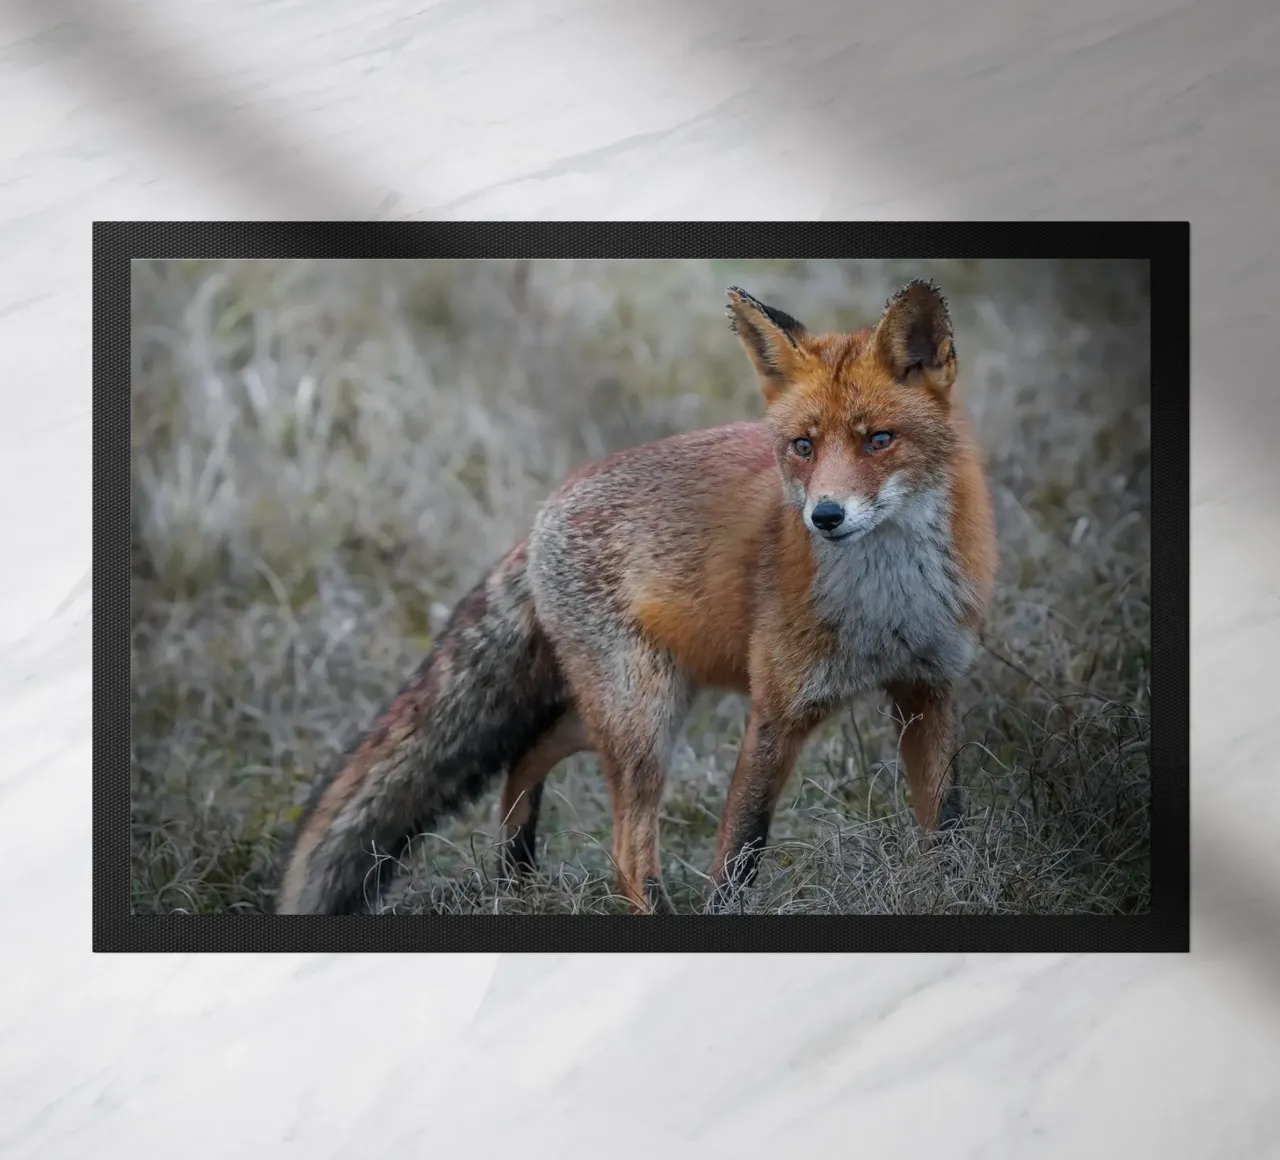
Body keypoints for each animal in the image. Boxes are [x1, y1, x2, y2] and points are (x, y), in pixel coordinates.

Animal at [276, 278, 998, 916]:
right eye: (803, 446)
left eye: (879, 440)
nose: (824, 516)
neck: (886, 607)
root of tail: (543, 513)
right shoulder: (777, 709)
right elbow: (739, 856)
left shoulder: (928, 689)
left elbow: (948, 829)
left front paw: (953, 898)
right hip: (644, 718)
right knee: (624, 846)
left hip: (641, 704)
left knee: (527, 751)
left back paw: (518, 874)